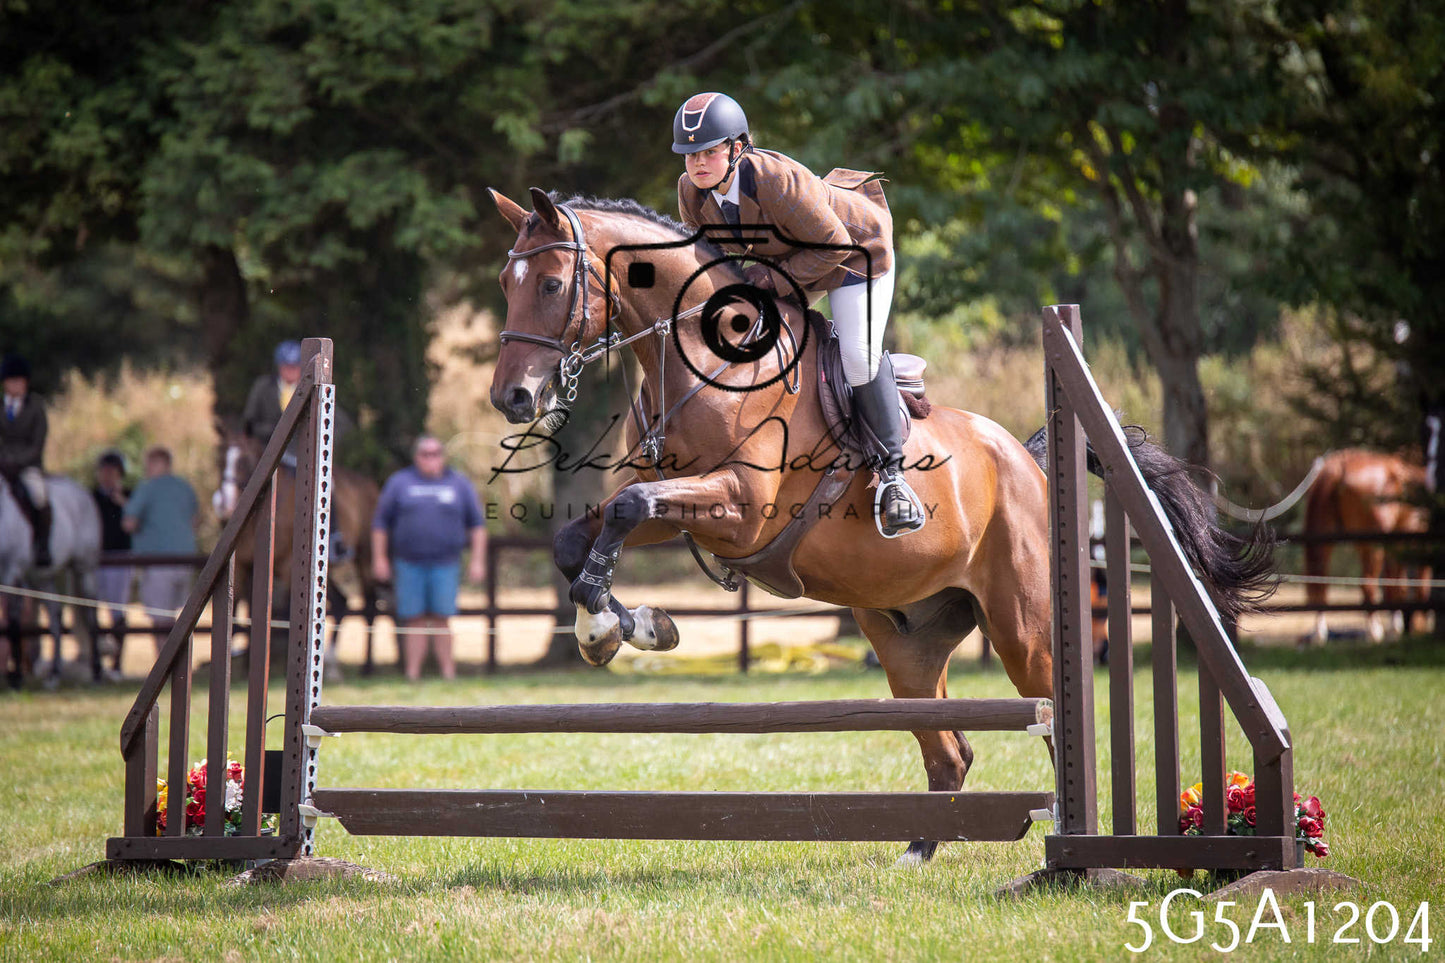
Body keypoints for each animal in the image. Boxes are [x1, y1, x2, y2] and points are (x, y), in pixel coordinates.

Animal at [0, 474, 103, 688]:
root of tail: (80, 490)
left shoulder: (12, 571)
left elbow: (13, 620)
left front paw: (16, 677)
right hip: (42, 577)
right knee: (56, 617)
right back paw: (54, 674)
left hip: (84, 568)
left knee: (91, 614)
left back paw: (97, 672)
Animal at [213, 422, 381, 676]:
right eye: (220, 458)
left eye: (243, 460)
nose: (224, 504)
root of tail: (370, 486)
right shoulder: (242, 567)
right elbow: (239, 610)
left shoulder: (288, 568)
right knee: (340, 601)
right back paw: (331, 664)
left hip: (365, 558)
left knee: (369, 603)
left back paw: (366, 666)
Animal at [486, 188, 1276, 863]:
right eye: (504, 282)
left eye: (551, 285)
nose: (511, 398)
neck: (705, 359)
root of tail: (1024, 460)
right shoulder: (677, 502)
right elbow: (586, 532)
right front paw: (622, 626)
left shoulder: (738, 507)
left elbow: (624, 511)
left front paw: (616, 627)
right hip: (906, 643)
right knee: (950, 750)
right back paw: (919, 850)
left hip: (1023, 629)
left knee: (1057, 724)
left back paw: (1080, 851)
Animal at [1302, 449, 1432, 643]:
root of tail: (1339, 465)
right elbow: (1408, 585)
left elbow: (1395, 585)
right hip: (1372, 545)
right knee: (1368, 585)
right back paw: (1374, 631)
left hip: (1330, 539)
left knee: (1320, 583)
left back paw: (1320, 633)